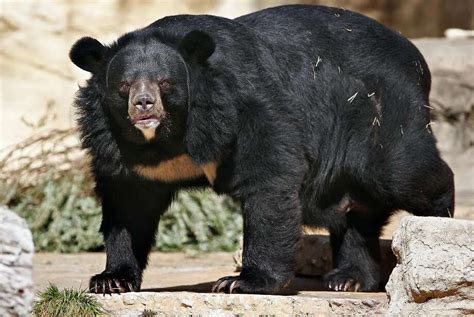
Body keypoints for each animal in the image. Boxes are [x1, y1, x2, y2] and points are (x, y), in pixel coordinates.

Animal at [68, 4, 454, 292]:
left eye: (165, 83)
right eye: (123, 86)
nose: (144, 105)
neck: (164, 140)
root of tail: (416, 56)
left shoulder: (248, 106)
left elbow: (270, 180)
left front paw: (241, 281)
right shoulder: (121, 150)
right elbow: (128, 206)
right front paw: (111, 280)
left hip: (380, 116)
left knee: (402, 172)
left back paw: (437, 222)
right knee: (353, 211)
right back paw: (350, 279)